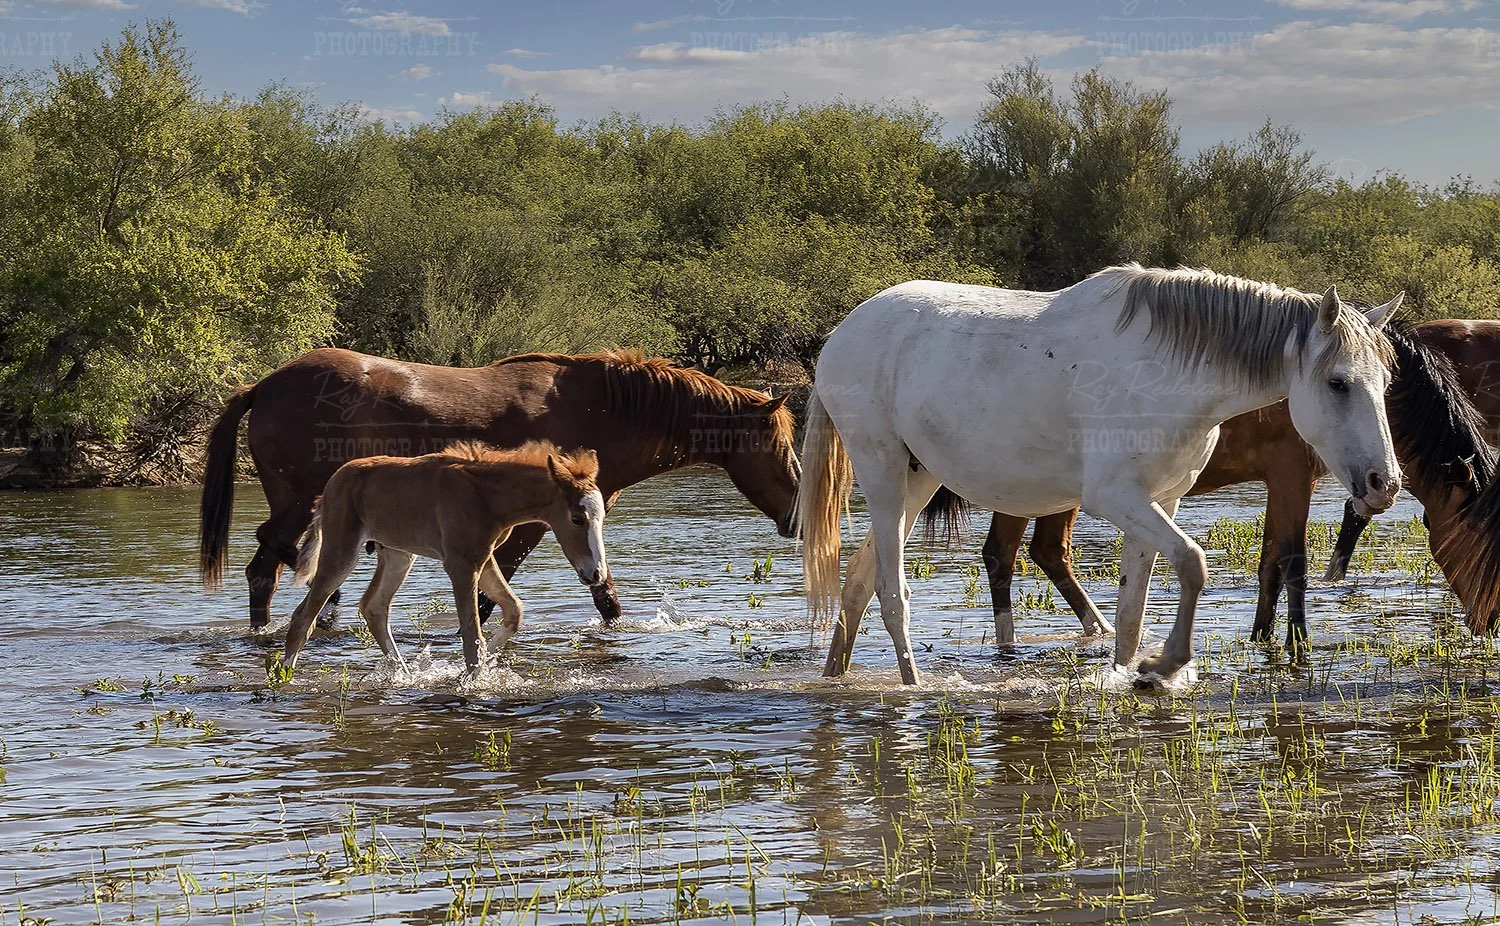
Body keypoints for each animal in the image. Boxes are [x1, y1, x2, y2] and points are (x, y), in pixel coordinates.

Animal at [200, 348, 800, 629]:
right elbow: (497, 592)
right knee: (271, 559)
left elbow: (603, 597)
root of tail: (265, 385)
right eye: (781, 446)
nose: (798, 515)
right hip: (302, 501)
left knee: (267, 566)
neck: (601, 409)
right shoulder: (532, 526)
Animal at [283, 441, 607, 674]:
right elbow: (472, 636)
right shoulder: (461, 564)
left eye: (602, 516)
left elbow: (513, 610)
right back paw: (282, 678)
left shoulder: (482, 557)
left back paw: (405, 676)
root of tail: (329, 488)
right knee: (303, 617)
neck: (486, 497)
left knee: (373, 607)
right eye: (577, 518)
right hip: (342, 550)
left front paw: (486, 665)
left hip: (399, 555)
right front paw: (473, 682)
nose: (596, 574)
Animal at [798, 264, 1403, 687]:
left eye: (1388, 382)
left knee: (857, 584)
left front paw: (1132, 673)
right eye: (1339, 383)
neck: (1166, 370)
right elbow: (1194, 563)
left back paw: (835, 678)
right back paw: (913, 688)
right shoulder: (1115, 497)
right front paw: (1166, 662)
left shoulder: (1162, 501)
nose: (1385, 484)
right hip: (881, 471)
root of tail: (842, 333)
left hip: (917, 479)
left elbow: (1133, 610)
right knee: (890, 592)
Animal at [931, 324, 1500, 649]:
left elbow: (1270, 562)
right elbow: (1292, 561)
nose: (1492, 621)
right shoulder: (1292, 476)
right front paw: (1298, 645)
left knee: (1048, 552)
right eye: (1480, 540)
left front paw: (1262, 636)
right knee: (1003, 556)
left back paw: (1100, 630)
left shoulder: (1282, 481)